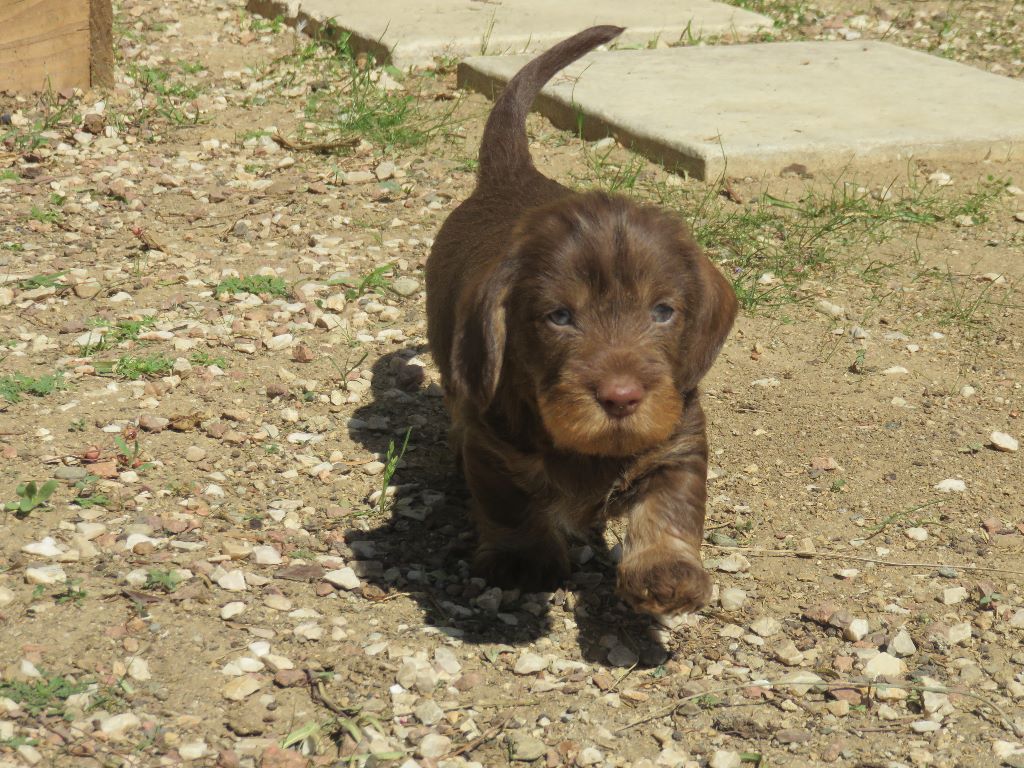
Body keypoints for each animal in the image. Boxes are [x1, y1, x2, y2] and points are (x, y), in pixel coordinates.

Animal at [425, 26, 738, 615]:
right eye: (559, 316)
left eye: (663, 312)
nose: (621, 398)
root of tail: (512, 176)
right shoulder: (494, 444)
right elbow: (509, 504)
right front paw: (523, 559)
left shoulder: (679, 444)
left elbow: (670, 507)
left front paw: (667, 571)